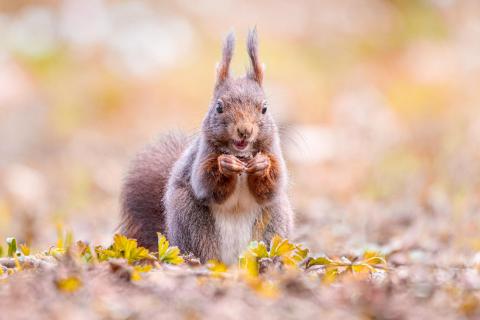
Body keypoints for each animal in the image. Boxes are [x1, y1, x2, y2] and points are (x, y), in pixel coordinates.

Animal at [119, 29, 292, 264]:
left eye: (264, 108)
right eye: (219, 107)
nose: (244, 131)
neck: (241, 154)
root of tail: (232, 262)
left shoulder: (274, 152)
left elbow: (271, 187)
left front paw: (262, 164)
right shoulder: (201, 157)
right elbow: (205, 183)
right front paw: (225, 165)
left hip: (273, 222)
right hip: (191, 220)